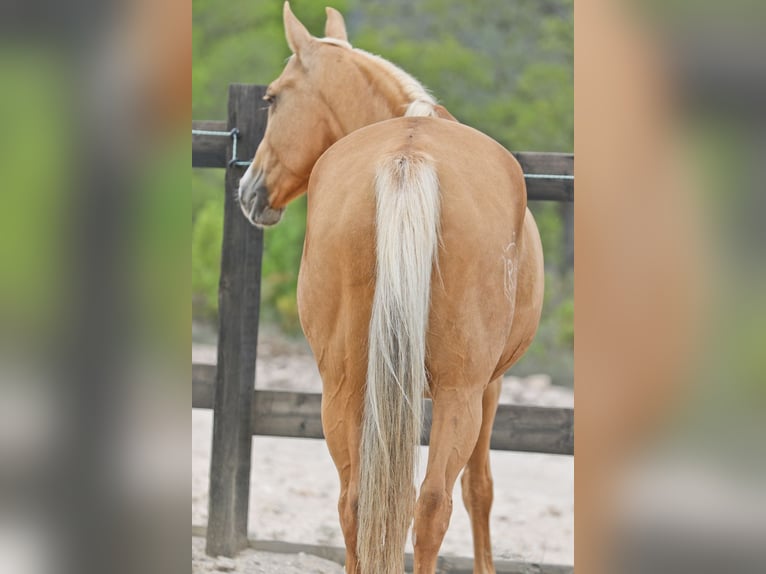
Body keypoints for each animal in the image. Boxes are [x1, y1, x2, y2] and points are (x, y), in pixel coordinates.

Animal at [240, 2, 544, 572]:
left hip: (343, 388)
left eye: (272, 99)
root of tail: (410, 154)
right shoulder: (489, 387)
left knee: (356, 501)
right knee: (431, 506)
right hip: (458, 395)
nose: (249, 189)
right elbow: (480, 488)